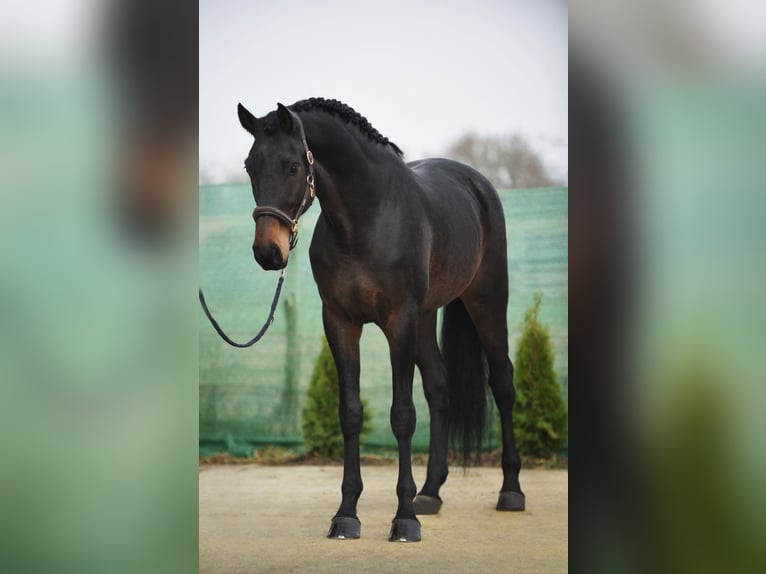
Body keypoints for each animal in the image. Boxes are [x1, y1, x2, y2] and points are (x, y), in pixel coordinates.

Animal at [238, 97, 528, 544]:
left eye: (291, 166)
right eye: (250, 166)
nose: (268, 253)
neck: (365, 222)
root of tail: (477, 184)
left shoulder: (399, 321)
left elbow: (402, 416)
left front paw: (404, 519)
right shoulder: (340, 322)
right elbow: (350, 413)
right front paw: (346, 514)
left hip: (486, 301)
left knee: (503, 383)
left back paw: (510, 491)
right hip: (426, 317)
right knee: (439, 387)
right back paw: (431, 492)